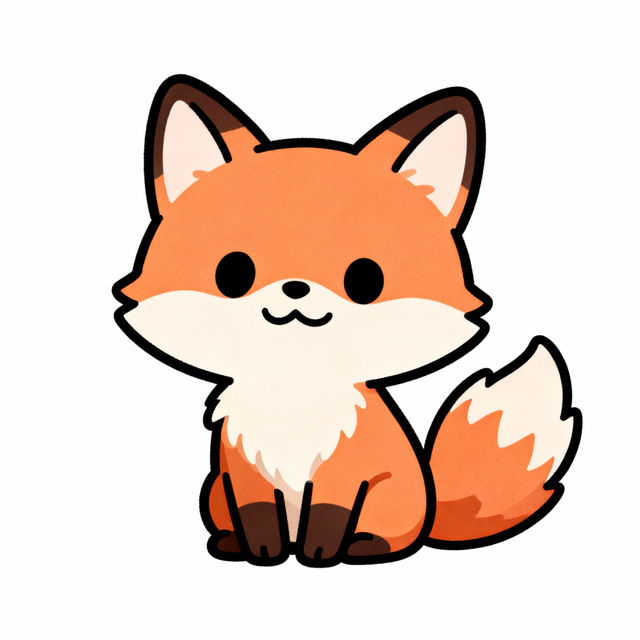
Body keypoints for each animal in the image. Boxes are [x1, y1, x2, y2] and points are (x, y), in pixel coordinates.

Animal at [113, 74, 581, 567]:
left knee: (395, 536)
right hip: (214, 492)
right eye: (233, 272)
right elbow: (259, 515)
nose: (296, 287)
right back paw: (228, 542)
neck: (294, 387)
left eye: (365, 279)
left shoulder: (347, 475)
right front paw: (263, 552)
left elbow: (329, 514)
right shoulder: (243, 476)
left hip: (393, 499)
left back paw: (366, 547)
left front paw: (320, 554)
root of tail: (433, 508)